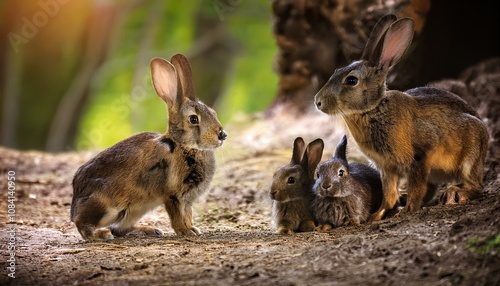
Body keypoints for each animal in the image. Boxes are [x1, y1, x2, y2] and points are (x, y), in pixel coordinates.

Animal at [70, 52, 227, 240]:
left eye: (213, 112)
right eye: (193, 119)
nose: (222, 135)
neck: (183, 146)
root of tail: (75, 202)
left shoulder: (187, 200)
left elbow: (187, 214)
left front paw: (193, 229)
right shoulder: (172, 196)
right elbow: (178, 216)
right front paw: (185, 231)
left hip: (134, 210)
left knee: (120, 229)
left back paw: (149, 230)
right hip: (107, 206)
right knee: (83, 225)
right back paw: (101, 234)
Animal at [314, 13, 486, 221]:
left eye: (352, 80)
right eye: (335, 71)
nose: (317, 102)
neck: (374, 108)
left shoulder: (420, 156)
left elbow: (417, 188)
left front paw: (407, 210)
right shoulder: (386, 168)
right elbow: (389, 194)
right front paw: (376, 216)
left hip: (470, 157)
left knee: (475, 185)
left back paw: (454, 193)